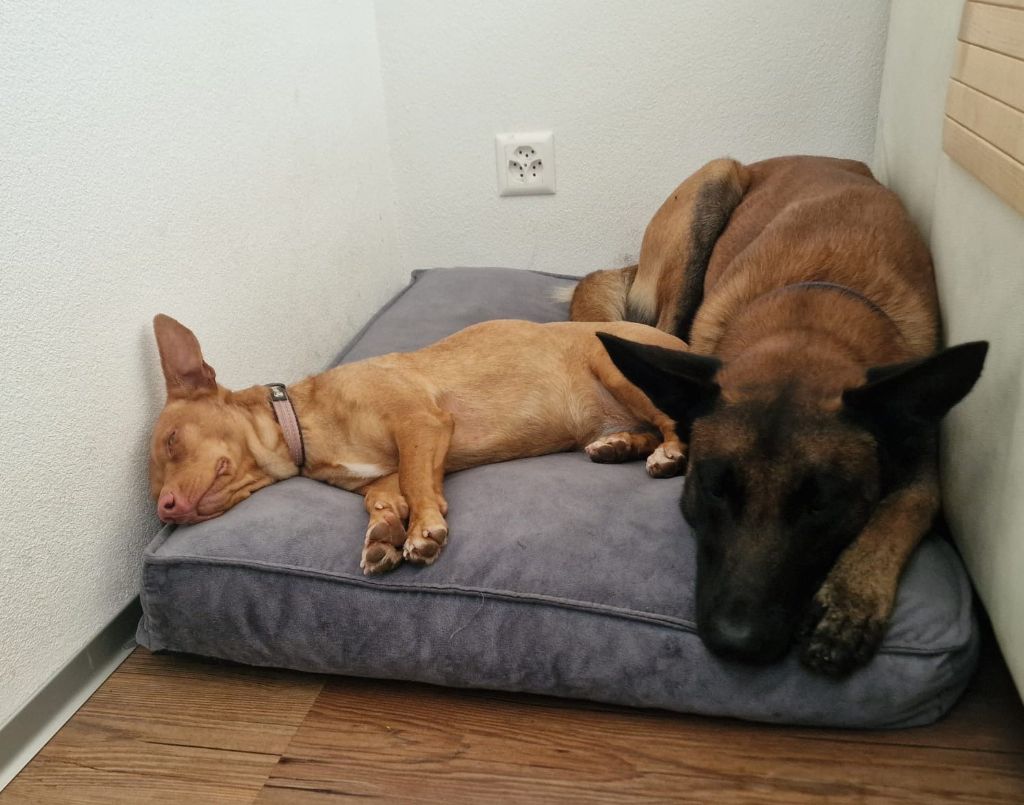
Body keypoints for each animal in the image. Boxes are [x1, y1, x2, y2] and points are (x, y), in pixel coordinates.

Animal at [149, 315, 687, 575]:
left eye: (172, 441)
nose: (164, 508)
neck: (302, 420)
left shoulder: (419, 423)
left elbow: (413, 477)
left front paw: (422, 529)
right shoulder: (383, 475)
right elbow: (386, 496)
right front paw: (385, 532)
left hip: (613, 365)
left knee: (679, 420)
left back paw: (669, 454)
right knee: (651, 426)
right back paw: (620, 445)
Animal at [569, 156, 988, 676]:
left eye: (820, 505)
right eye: (715, 489)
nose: (737, 643)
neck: (810, 318)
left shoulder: (921, 465)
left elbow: (905, 509)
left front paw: (848, 602)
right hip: (710, 192)